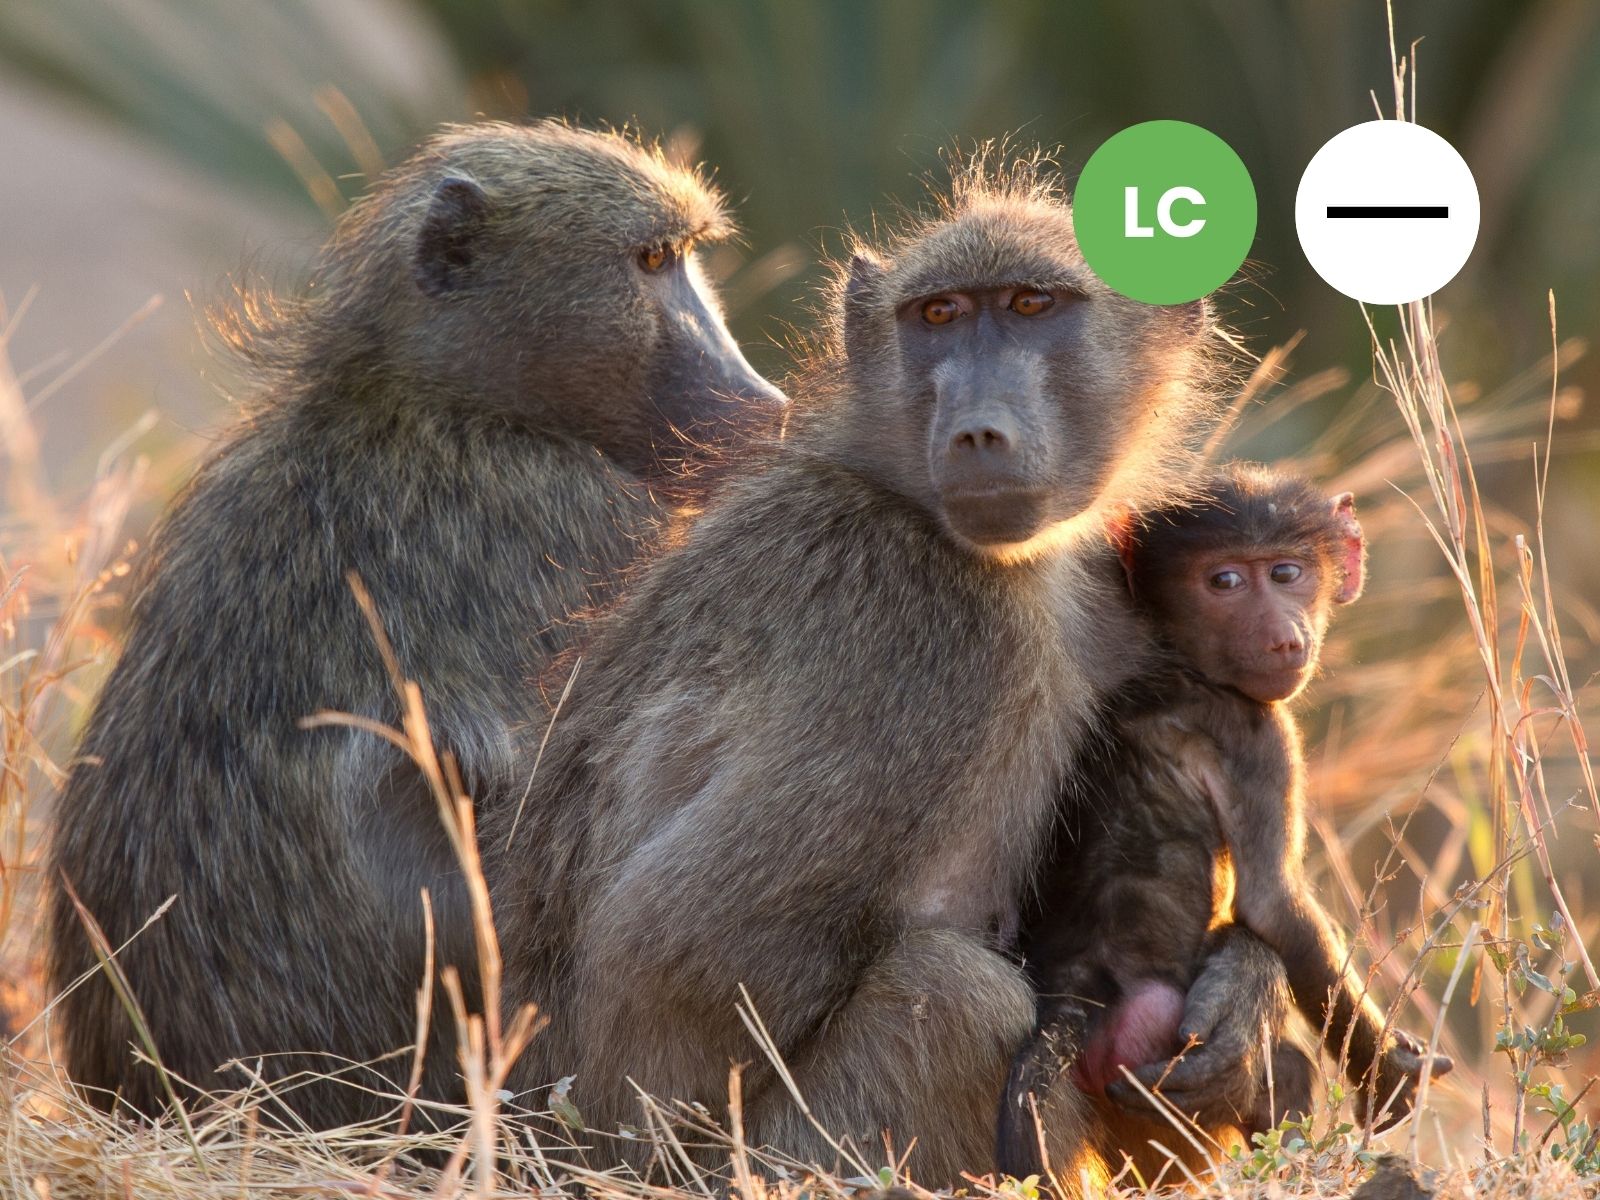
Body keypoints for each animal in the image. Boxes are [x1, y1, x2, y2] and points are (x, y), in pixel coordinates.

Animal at [483, 156, 1312, 1188]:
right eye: (940, 315)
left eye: (1033, 305)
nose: (978, 433)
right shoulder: (923, 630)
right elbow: (669, 958)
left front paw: (1245, 996)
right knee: (955, 994)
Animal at [997, 464, 1454, 1180]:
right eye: (1225, 581)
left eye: (1287, 572)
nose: (1283, 636)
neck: (1173, 654)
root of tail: (1073, 998)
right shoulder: (1259, 734)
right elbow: (1274, 905)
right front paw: (1388, 1078)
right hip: (1154, 1059)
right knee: (1284, 1072)